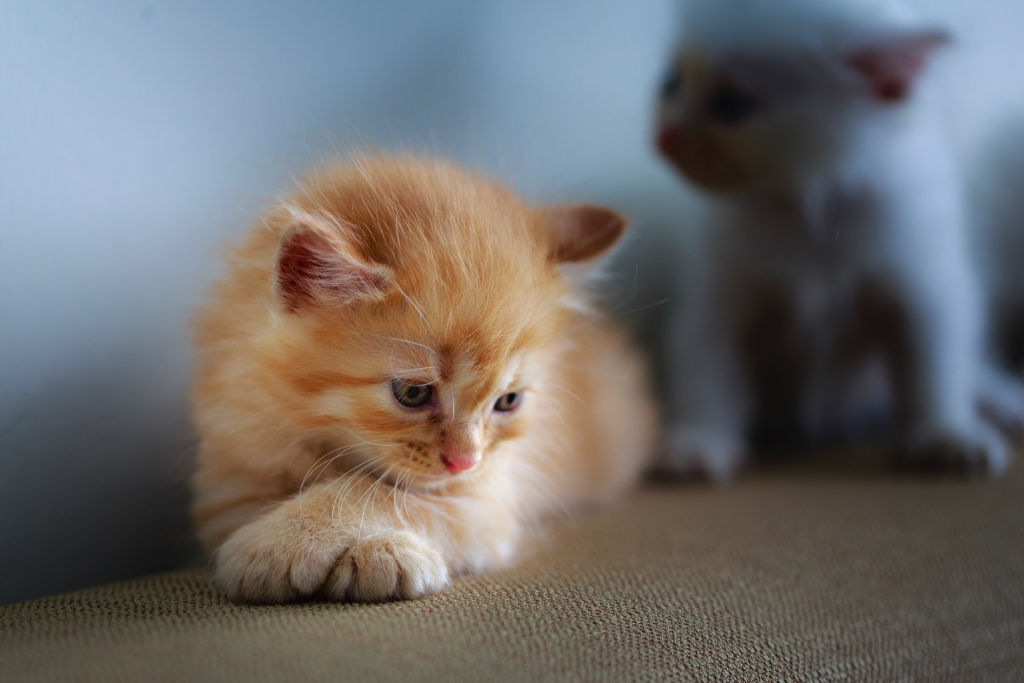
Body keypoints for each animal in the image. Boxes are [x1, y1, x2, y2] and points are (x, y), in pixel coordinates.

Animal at [191, 156, 655, 602]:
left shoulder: (485, 497)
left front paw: (362, 552)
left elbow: (378, 492)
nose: (464, 461)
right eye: (413, 393)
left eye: (507, 402)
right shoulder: (229, 482)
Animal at [655, 0, 1024, 481]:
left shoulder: (926, 284)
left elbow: (933, 367)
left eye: (733, 105)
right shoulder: (718, 296)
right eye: (670, 82)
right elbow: (707, 371)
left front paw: (946, 433)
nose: (666, 137)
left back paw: (1003, 404)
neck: (808, 207)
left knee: (972, 369)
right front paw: (699, 440)